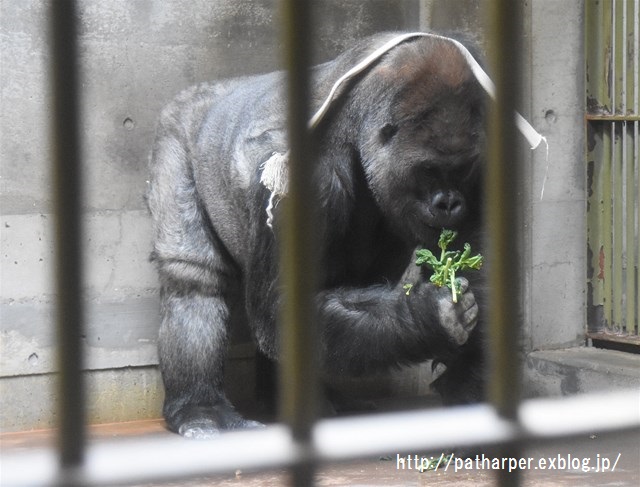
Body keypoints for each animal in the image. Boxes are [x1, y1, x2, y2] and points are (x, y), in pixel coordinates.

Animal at [146, 32, 484, 440]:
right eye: (430, 169)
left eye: (462, 169)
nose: (450, 203)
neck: (352, 126)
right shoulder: (302, 177)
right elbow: (283, 303)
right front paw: (427, 316)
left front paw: (467, 379)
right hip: (174, 134)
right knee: (193, 279)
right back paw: (201, 406)